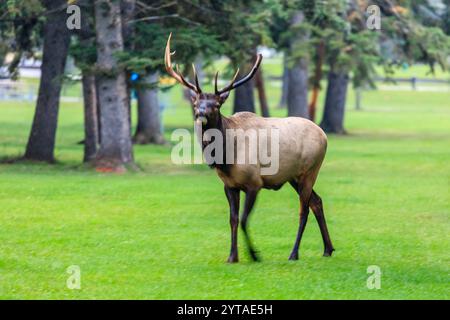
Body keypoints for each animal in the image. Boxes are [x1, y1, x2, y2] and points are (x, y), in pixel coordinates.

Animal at [165, 33, 334, 262]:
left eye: (216, 104)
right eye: (196, 103)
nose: (200, 113)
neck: (226, 158)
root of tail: (324, 135)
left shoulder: (255, 182)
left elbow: (244, 219)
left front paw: (254, 255)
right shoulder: (229, 185)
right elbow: (233, 219)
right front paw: (232, 256)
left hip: (310, 170)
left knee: (304, 208)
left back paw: (294, 253)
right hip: (293, 176)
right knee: (316, 201)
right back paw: (328, 249)